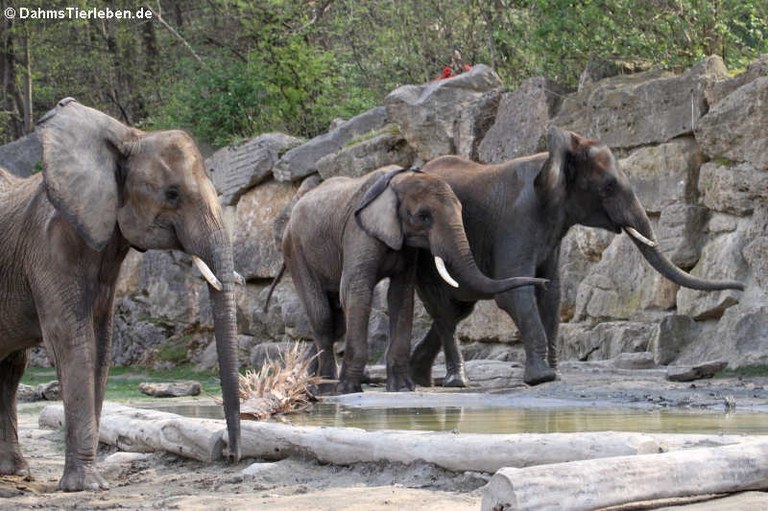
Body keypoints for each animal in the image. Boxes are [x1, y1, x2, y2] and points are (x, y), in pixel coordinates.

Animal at [0, 99, 240, 492]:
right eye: (172, 194)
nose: (232, 455)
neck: (129, 138)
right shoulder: (48, 250)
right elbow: (72, 341)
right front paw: (87, 487)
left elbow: (100, 345)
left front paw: (89, 482)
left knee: (11, 366)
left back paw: (16, 472)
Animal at [282, 166, 544, 394]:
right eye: (422, 217)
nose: (543, 280)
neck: (398, 182)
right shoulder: (358, 233)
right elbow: (357, 291)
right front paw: (348, 390)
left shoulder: (406, 249)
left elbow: (401, 295)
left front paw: (402, 388)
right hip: (296, 251)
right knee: (323, 317)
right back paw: (327, 389)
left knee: (337, 320)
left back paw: (312, 386)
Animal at [412, 127, 748, 388]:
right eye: (609, 187)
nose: (742, 288)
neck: (552, 158)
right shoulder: (515, 223)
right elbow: (516, 292)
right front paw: (542, 378)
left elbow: (551, 292)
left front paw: (553, 375)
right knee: (446, 311)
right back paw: (452, 382)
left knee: (457, 310)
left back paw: (421, 378)